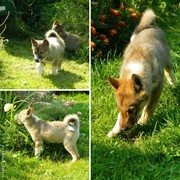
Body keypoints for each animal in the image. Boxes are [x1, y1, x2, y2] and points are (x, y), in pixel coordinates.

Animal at [107, 8, 175, 138]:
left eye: (131, 110)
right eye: (119, 108)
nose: (123, 129)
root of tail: (151, 25)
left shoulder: (158, 87)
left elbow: (149, 108)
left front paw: (142, 123)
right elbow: (119, 118)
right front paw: (113, 132)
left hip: (168, 61)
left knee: (170, 73)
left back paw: (174, 86)